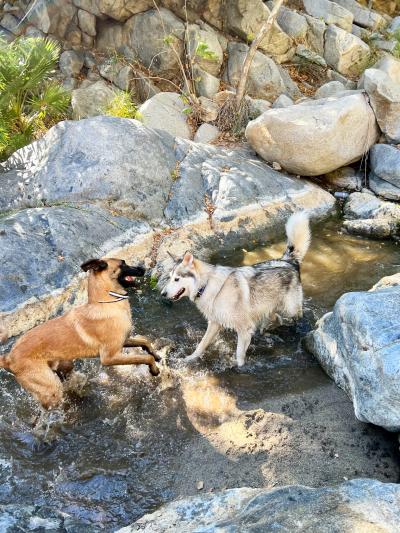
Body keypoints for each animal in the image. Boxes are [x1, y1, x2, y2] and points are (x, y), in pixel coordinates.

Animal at [0, 260, 159, 410]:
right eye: (123, 263)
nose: (143, 268)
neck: (106, 303)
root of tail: (8, 357)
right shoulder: (109, 357)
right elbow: (145, 358)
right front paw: (154, 369)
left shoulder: (122, 342)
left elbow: (145, 343)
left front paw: (156, 355)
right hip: (51, 390)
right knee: (47, 406)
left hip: (65, 365)